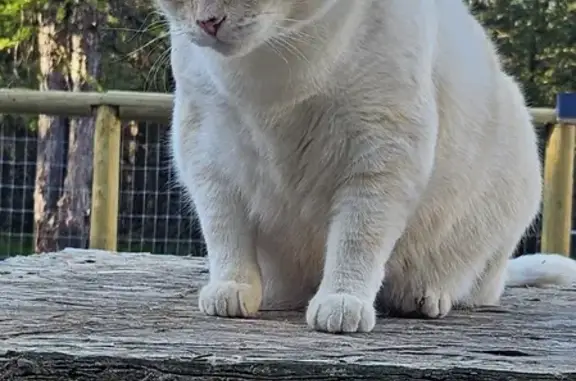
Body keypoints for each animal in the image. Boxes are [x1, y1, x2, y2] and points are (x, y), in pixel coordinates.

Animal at [156, 0, 576, 332]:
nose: (209, 21)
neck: (273, 70)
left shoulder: (382, 154)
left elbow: (357, 238)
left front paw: (342, 300)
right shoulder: (205, 151)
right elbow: (225, 232)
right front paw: (232, 288)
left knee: (468, 283)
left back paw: (424, 296)